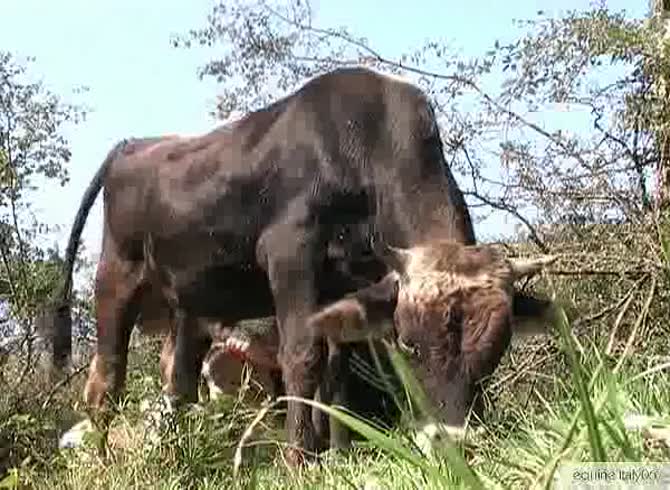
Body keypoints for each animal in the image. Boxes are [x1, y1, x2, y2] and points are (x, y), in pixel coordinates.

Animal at [49, 66, 557, 465]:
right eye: (409, 345)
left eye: (496, 350)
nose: (449, 442)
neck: (361, 143)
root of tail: (132, 145)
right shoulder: (290, 254)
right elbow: (302, 356)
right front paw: (299, 460)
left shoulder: (351, 282)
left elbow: (336, 368)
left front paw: (338, 454)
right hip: (116, 277)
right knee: (106, 379)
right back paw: (103, 460)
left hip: (189, 304)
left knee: (179, 382)